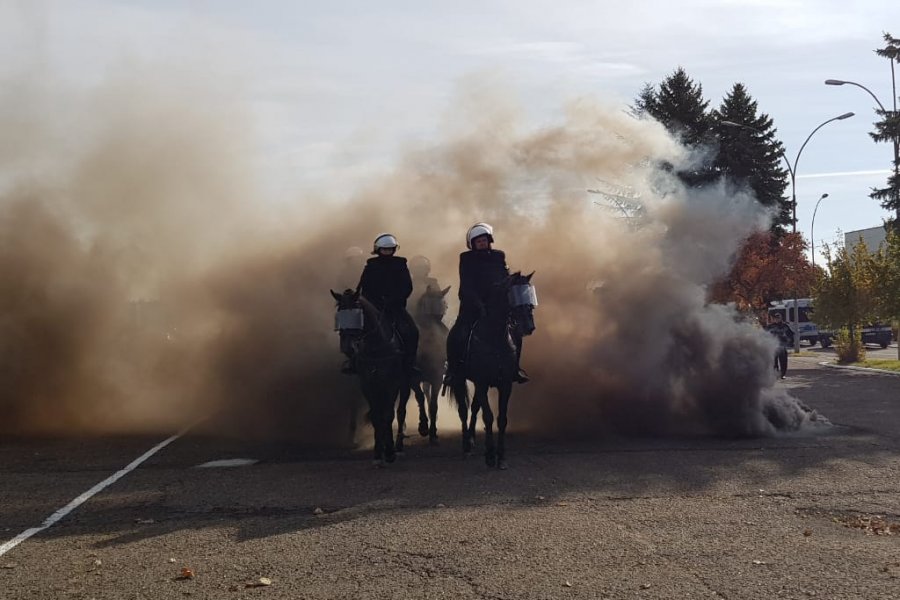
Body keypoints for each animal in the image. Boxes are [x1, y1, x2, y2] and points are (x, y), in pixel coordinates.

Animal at [330, 288, 404, 466]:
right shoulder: (368, 384)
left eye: (357, 313)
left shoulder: (392, 384)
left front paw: (389, 452)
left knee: (399, 411)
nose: (347, 348)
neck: (376, 347)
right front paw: (378, 454)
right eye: (339, 313)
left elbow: (388, 415)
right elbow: (377, 416)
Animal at [396, 284, 450, 450]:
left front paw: (433, 434)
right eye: (427, 304)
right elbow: (419, 397)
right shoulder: (412, 378)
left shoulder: (437, 378)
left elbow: (433, 404)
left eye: (444, 304)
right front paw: (423, 426)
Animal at [448, 270, 536, 468]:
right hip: (459, 379)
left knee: (474, 408)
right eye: (513, 295)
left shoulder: (505, 384)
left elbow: (501, 419)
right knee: (463, 410)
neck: (495, 338)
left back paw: (472, 439)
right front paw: (489, 455)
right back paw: (466, 446)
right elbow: (487, 417)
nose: (529, 327)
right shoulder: (481, 382)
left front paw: (501, 456)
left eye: (529, 294)